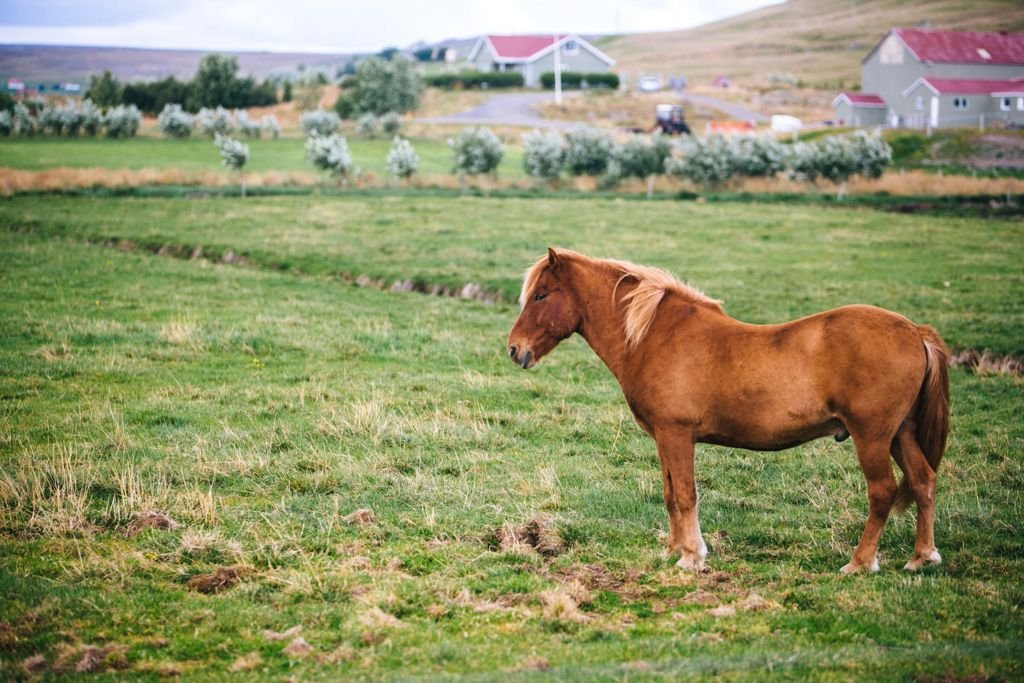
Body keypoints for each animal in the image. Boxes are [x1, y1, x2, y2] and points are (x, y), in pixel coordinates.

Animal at [507, 248, 946, 573]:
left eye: (542, 294)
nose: (514, 349)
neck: (654, 336)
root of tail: (915, 331)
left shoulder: (676, 434)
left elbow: (686, 494)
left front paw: (691, 556)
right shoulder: (665, 438)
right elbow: (670, 494)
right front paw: (672, 551)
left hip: (872, 437)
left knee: (882, 491)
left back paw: (860, 563)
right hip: (900, 434)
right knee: (923, 481)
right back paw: (921, 558)